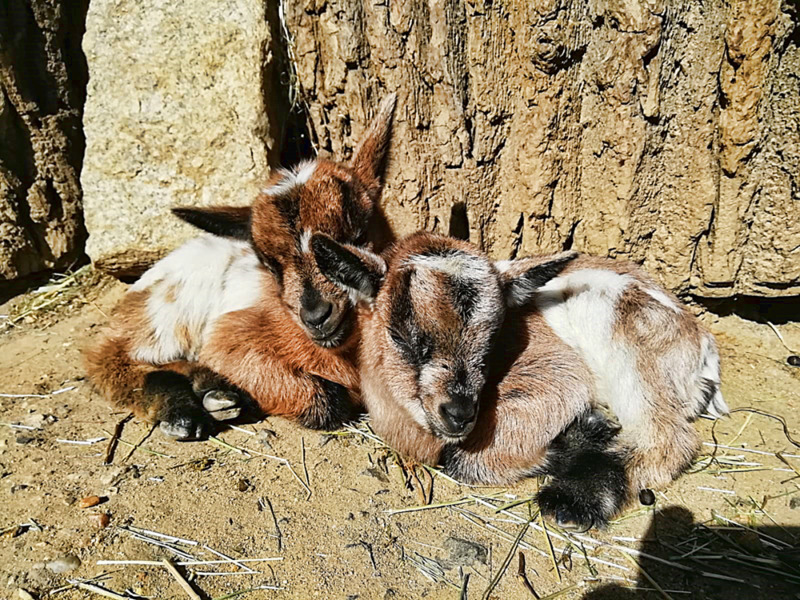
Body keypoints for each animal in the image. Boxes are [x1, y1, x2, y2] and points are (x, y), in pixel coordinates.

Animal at [84, 95, 396, 440]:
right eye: (270, 264)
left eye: (360, 235)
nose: (316, 317)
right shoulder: (229, 338)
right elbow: (328, 401)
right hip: (162, 317)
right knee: (110, 361)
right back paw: (185, 412)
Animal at [310, 232, 724, 528]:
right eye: (401, 337)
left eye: (492, 341)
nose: (459, 413)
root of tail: (701, 343)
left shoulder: (561, 374)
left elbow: (461, 459)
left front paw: (583, 435)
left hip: (629, 348)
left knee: (669, 437)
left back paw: (574, 501)